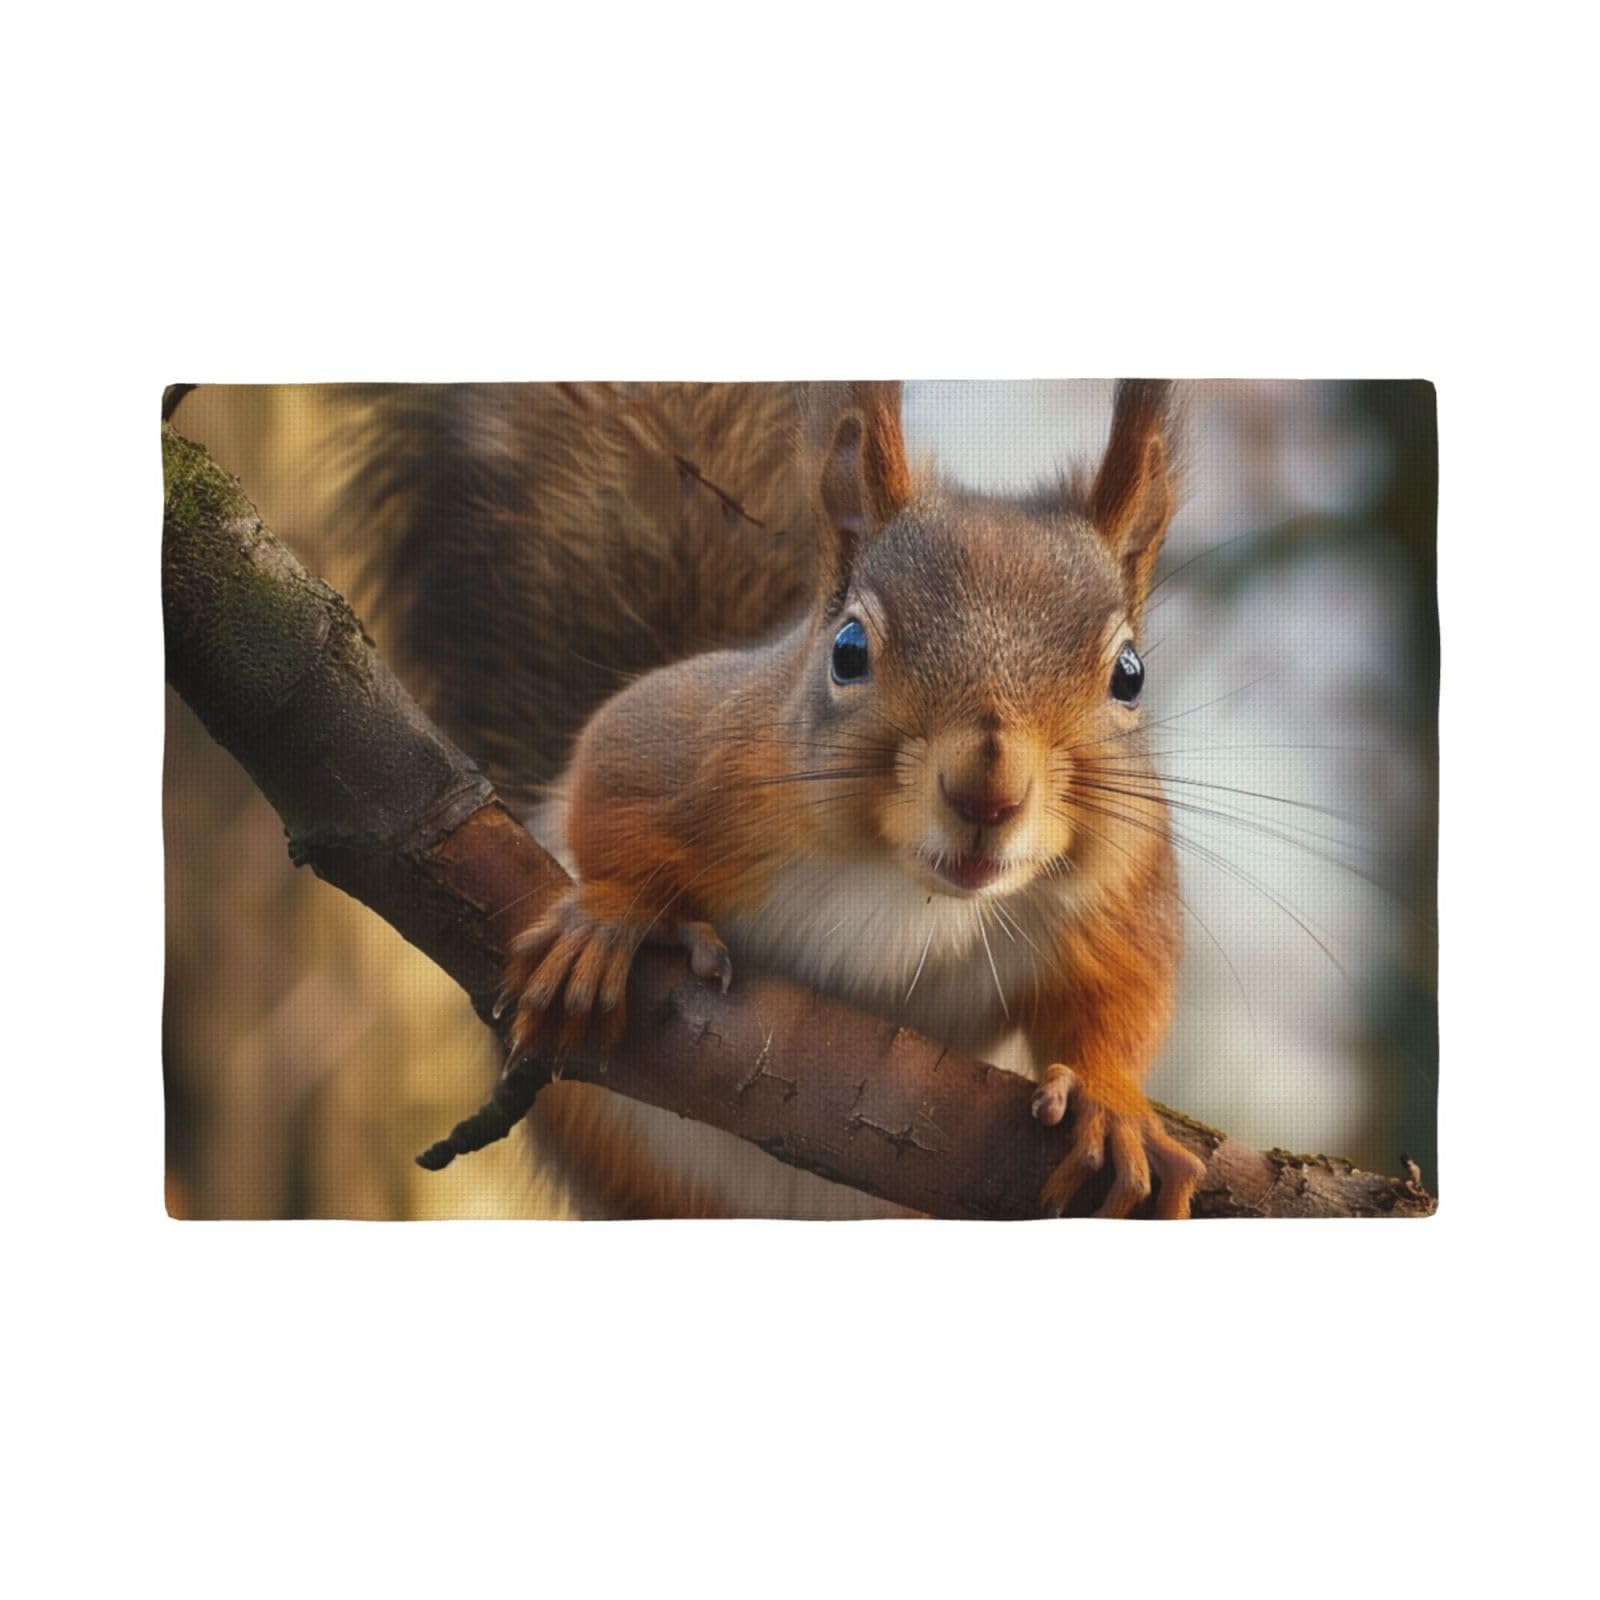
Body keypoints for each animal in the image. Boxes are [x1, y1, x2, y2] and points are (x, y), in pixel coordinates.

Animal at [338, 380, 1206, 1218]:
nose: (987, 796)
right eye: (848, 651)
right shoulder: (693, 742)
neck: (904, 884)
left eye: (1130, 676)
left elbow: (1123, 989)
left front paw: (1109, 1103)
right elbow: (610, 781)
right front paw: (616, 915)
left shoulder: (1122, 879)